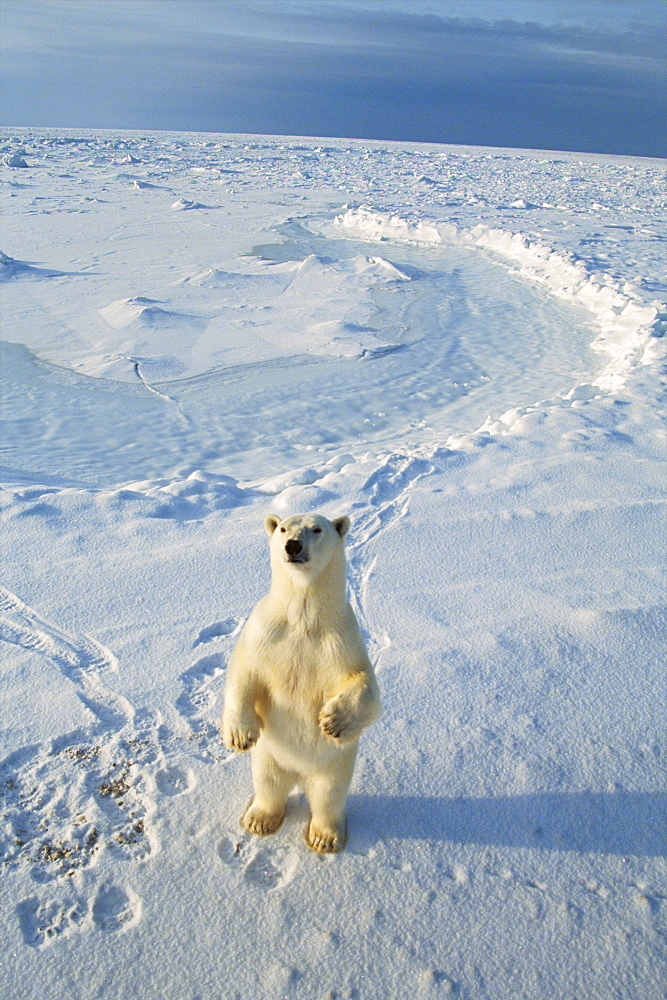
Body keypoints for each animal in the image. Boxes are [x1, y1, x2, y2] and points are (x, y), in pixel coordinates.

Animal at [222, 516, 380, 852]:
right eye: (283, 528)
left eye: (317, 529)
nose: (292, 545)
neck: (303, 618)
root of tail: (299, 775)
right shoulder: (264, 631)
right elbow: (243, 672)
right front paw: (240, 735)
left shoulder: (341, 641)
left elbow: (369, 690)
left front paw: (333, 720)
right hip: (270, 755)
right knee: (268, 782)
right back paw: (259, 819)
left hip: (334, 764)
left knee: (329, 795)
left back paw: (324, 836)